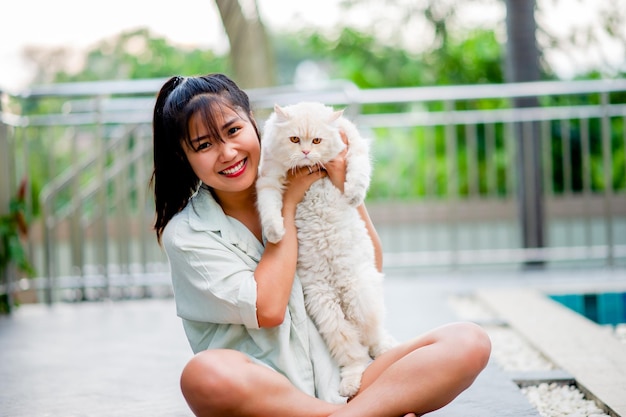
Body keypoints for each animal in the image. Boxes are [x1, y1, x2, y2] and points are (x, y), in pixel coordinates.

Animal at [255, 101, 394, 396]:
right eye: (295, 139)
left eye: (317, 140)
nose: (307, 152)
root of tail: (339, 288)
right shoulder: (269, 178)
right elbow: (270, 208)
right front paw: (275, 233)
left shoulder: (354, 144)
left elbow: (358, 170)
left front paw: (352, 195)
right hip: (327, 308)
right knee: (355, 355)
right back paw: (350, 385)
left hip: (360, 298)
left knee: (373, 337)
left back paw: (385, 349)